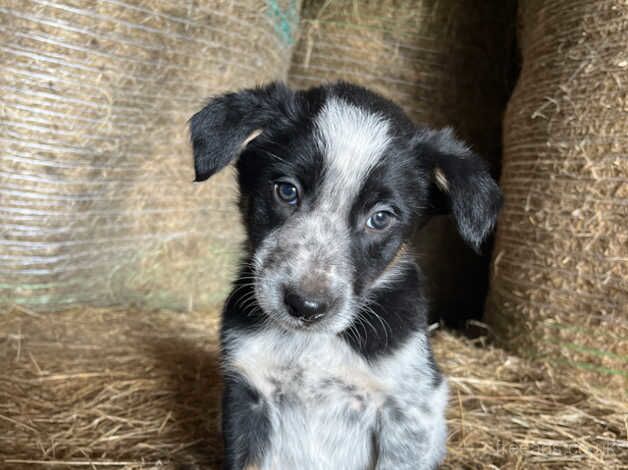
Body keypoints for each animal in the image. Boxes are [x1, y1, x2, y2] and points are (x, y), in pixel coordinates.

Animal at [189, 82, 502, 468]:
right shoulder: (247, 391)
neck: (312, 345)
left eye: (380, 217)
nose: (306, 307)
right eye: (287, 191)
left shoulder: (409, 411)